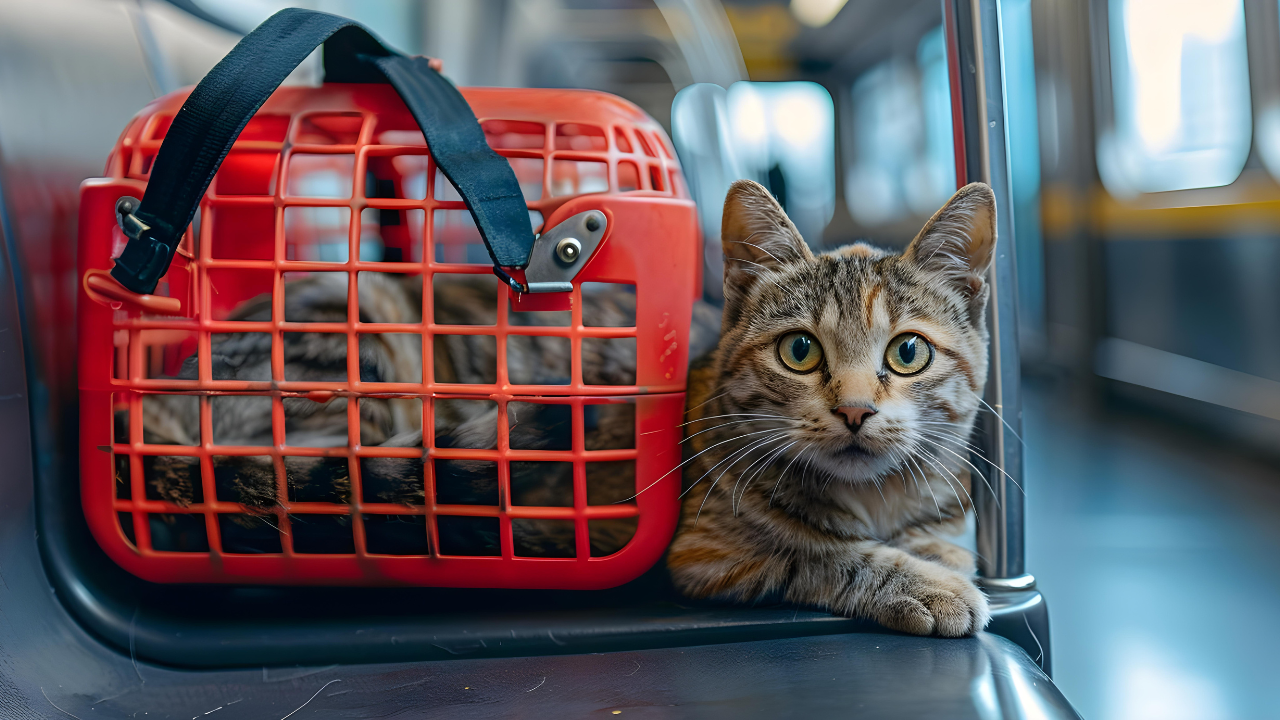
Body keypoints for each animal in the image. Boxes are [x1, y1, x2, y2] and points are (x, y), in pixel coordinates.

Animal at [665, 178, 993, 632]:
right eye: (799, 350)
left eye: (908, 351)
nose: (855, 410)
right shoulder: (706, 551)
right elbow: (823, 552)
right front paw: (930, 584)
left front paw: (936, 548)